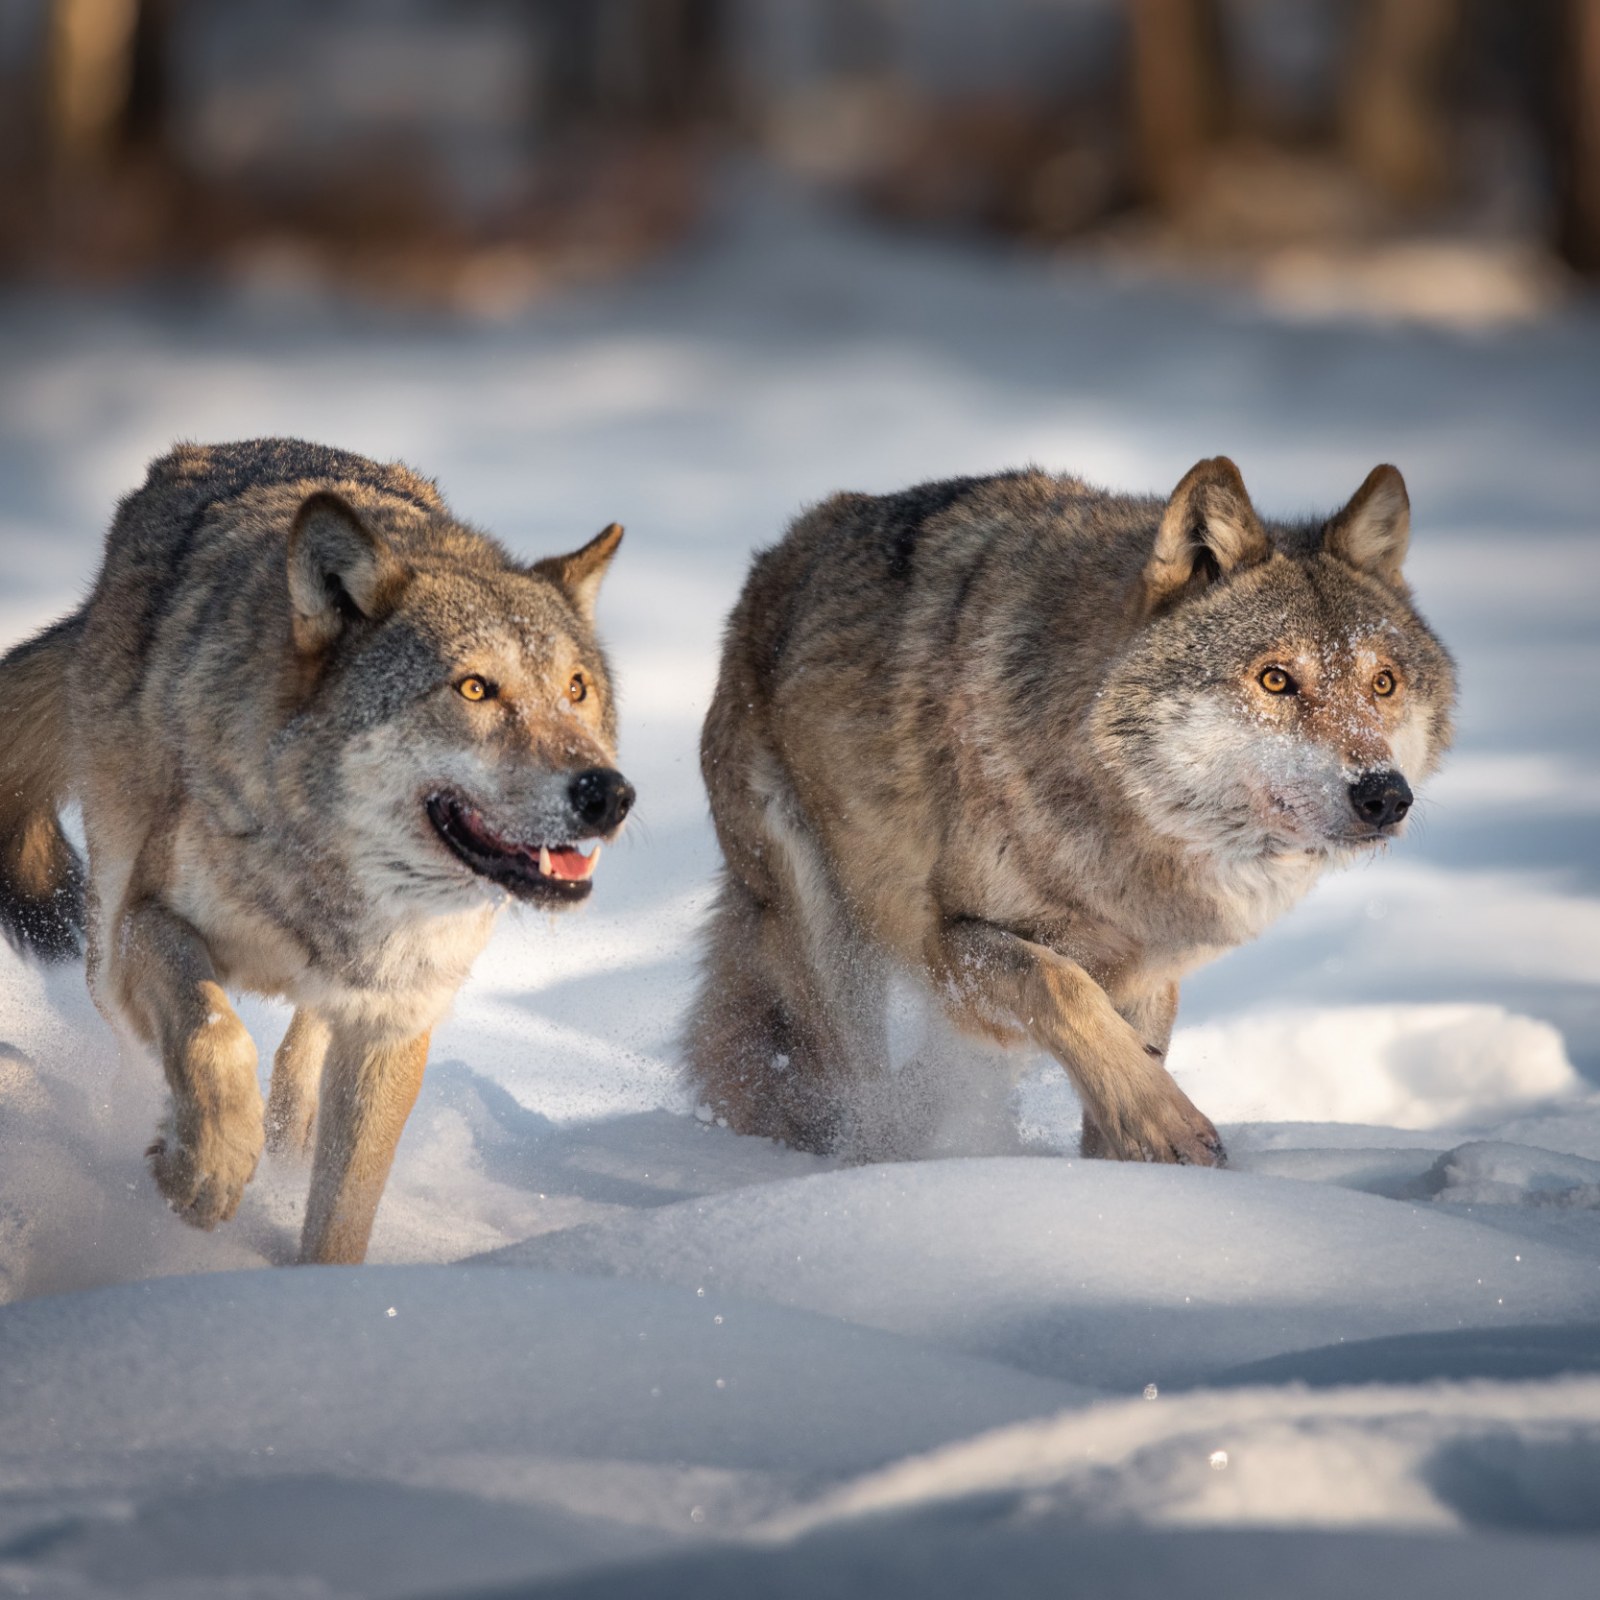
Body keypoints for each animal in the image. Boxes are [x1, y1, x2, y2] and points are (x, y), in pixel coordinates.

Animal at [0, 439, 633, 1263]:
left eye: (577, 689)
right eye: (474, 688)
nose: (608, 793)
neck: (331, 882)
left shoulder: (395, 1018)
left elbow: (344, 1208)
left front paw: (318, 1283)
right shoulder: (149, 920)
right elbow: (212, 1035)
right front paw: (205, 1169)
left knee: (301, 1049)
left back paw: (286, 1135)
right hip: (105, 942)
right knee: (145, 1050)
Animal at [685, 457, 1455, 1164]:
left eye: (1383, 684)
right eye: (1274, 679)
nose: (1384, 794)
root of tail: (775, 557)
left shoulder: (1150, 975)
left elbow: (1120, 1058)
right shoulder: (951, 941)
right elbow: (1062, 986)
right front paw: (1166, 1126)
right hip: (828, 942)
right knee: (857, 1095)